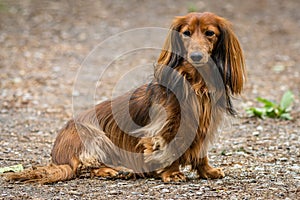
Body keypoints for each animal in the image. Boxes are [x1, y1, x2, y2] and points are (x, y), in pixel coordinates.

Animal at [4, 12, 245, 184]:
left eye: (209, 33)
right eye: (186, 33)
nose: (195, 56)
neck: (194, 82)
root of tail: (57, 156)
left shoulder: (205, 124)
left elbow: (201, 152)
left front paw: (208, 171)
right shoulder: (166, 124)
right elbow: (167, 146)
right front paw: (171, 173)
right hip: (95, 136)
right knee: (84, 167)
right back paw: (118, 170)